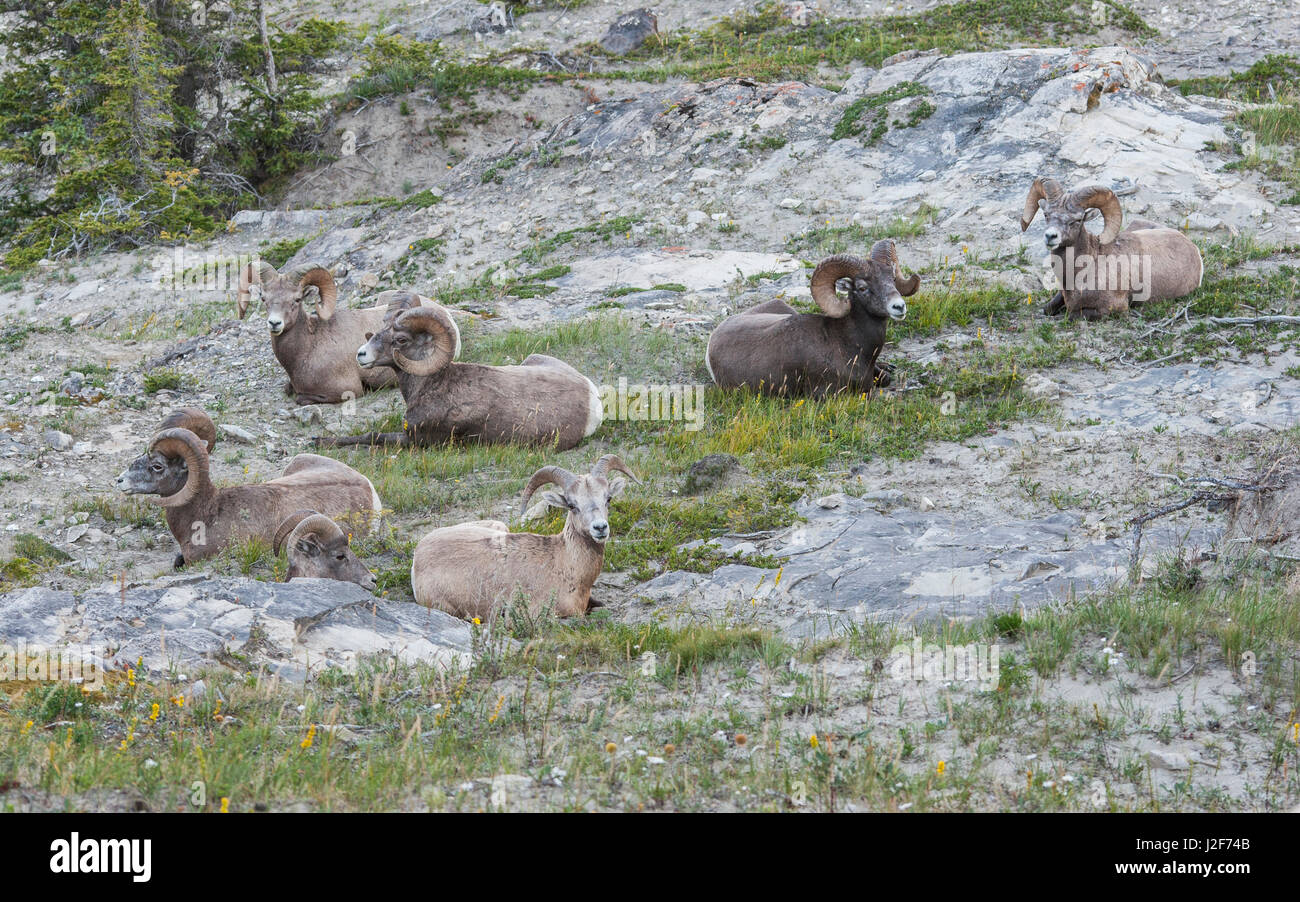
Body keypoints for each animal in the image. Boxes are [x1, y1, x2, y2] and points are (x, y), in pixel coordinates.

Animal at [237, 262, 430, 405]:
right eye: (264, 298)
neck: (309, 347)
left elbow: (300, 399)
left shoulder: (347, 390)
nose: (275, 323)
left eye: (297, 299)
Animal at [316, 303, 602, 451]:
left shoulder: (418, 440)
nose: (361, 354)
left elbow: (371, 436)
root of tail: (593, 400)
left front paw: (320, 441)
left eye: (401, 340)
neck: (434, 385)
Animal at [1021, 177, 1204, 319]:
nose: (1050, 236)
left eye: (1077, 220)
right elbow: (1046, 309)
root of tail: (1193, 248)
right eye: (1046, 215)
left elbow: (1071, 315)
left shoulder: (1113, 308)